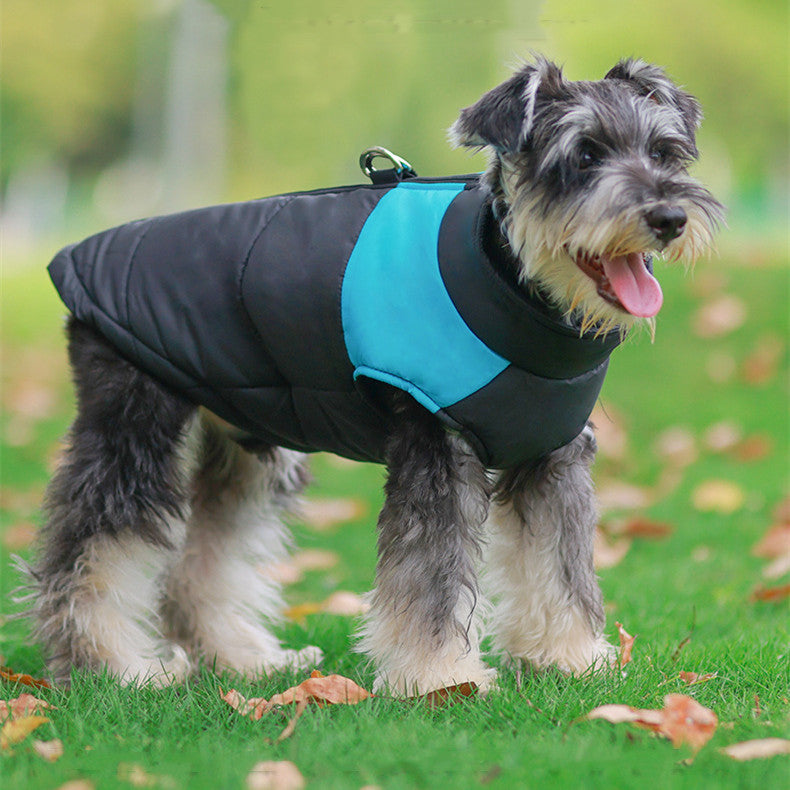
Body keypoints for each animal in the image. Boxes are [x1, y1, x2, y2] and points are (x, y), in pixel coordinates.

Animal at [24, 58, 724, 696]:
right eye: (583, 156)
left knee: (204, 557)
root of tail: (76, 258)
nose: (668, 217)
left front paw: (571, 658)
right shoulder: (435, 445)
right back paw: (112, 665)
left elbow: (561, 565)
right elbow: (430, 578)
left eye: (664, 152)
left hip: (247, 443)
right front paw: (440, 677)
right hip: (134, 428)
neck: (506, 278)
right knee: (91, 547)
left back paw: (247, 662)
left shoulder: (552, 455)